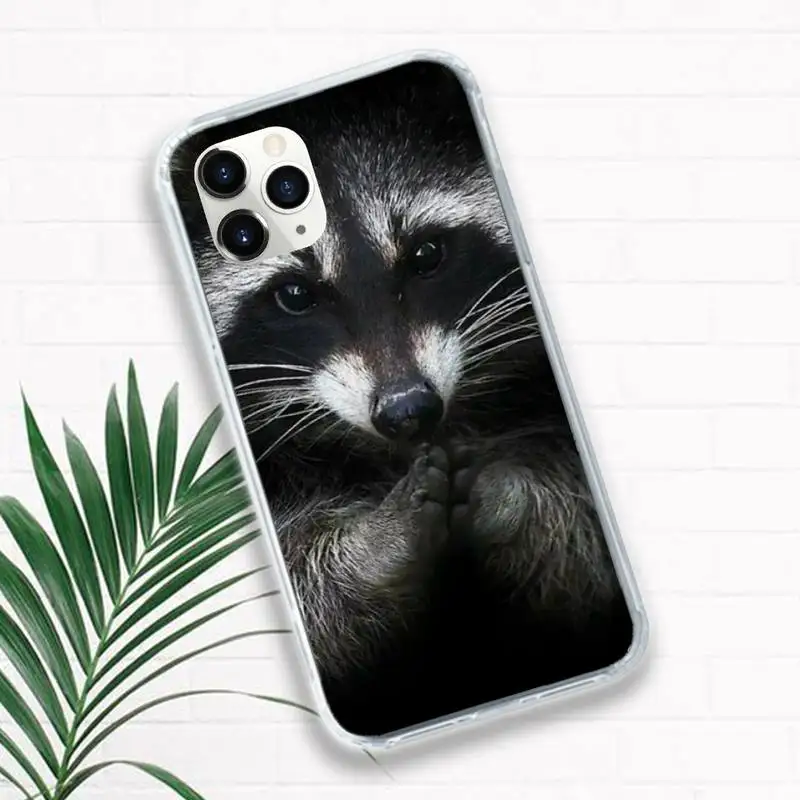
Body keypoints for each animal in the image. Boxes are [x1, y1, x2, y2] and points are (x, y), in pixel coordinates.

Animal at [175, 63, 633, 735]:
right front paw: (370, 551)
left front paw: (511, 498)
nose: (408, 410)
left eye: (426, 255)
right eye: (295, 295)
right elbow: (315, 602)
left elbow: (582, 558)